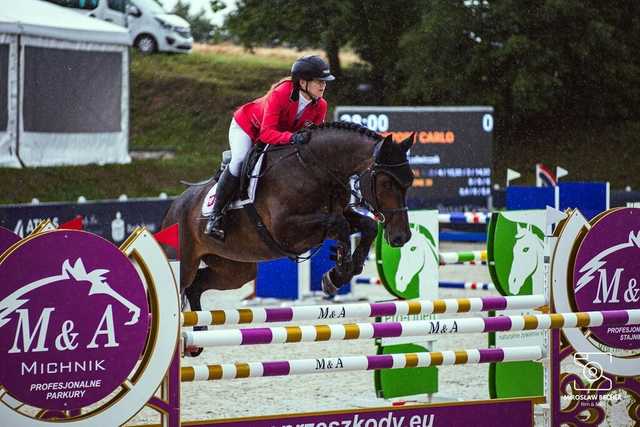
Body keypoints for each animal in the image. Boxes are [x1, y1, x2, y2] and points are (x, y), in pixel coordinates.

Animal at [162, 122, 418, 320]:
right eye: (386, 183)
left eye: (410, 181)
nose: (401, 237)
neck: (315, 168)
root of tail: (175, 206)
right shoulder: (286, 230)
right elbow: (339, 225)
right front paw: (339, 271)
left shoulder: (339, 213)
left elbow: (366, 226)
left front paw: (340, 273)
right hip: (185, 262)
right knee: (183, 287)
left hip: (235, 269)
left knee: (197, 286)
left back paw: (196, 341)